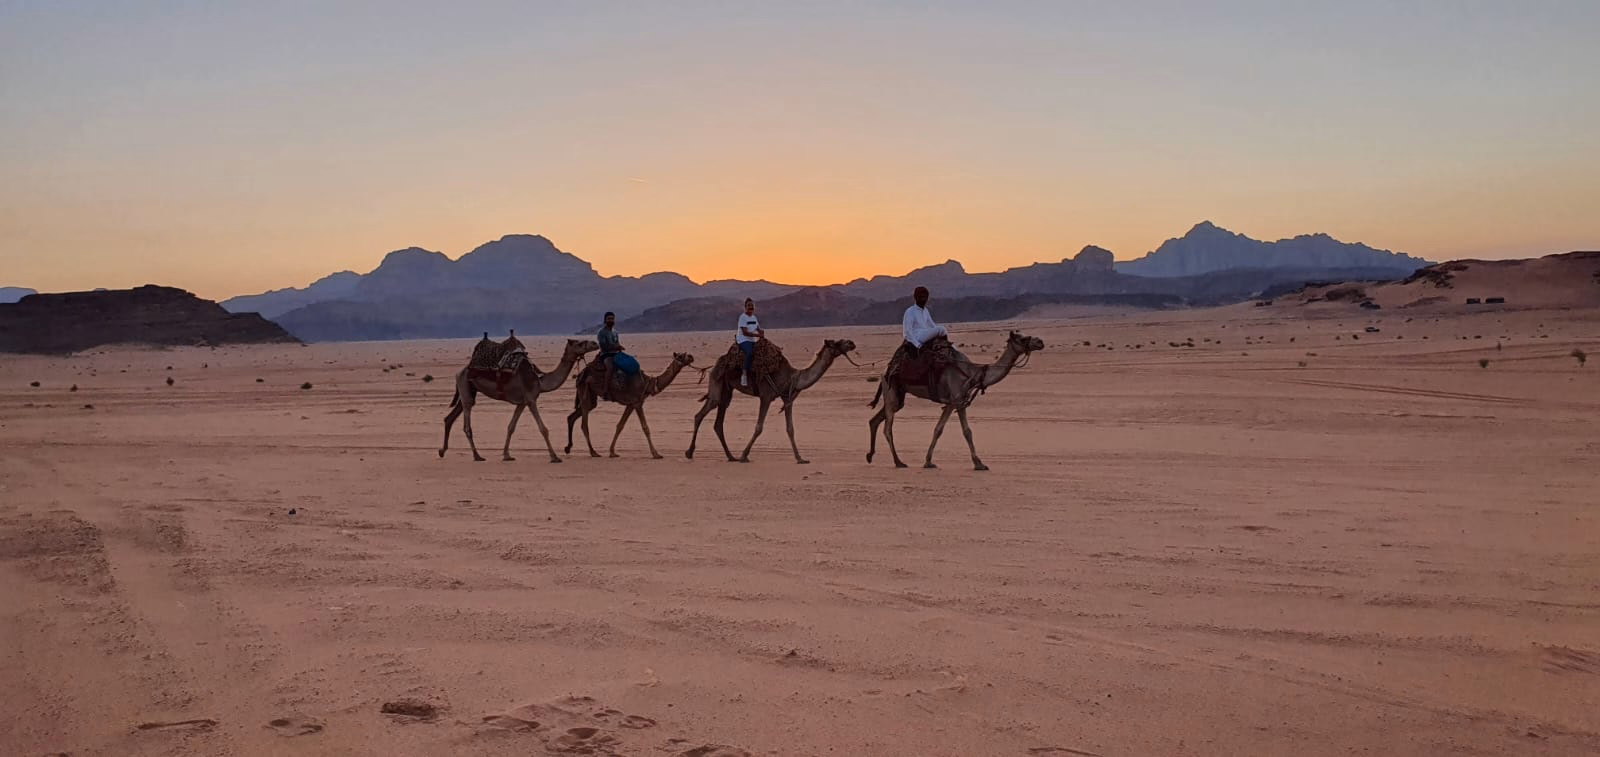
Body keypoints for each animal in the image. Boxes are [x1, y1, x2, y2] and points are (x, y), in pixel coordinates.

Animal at [439, 338, 599, 462]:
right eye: (580, 343)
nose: (595, 343)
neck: (540, 381)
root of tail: (460, 371)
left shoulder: (522, 402)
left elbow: (511, 427)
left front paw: (507, 455)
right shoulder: (531, 399)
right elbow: (543, 429)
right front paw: (554, 457)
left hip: (469, 389)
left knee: (450, 417)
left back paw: (442, 451)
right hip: (465, 386)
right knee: (467, 423)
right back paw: (477, 456)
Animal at [564, 352, 695, 460]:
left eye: (685, 353)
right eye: (680, 356)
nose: (691, 357)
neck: (648, 383)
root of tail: (580, 375)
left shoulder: (631, 404)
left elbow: (620, 426)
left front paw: (612, 452)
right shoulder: (637, 403)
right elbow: (645, 427)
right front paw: (656, 454)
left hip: (591, 396)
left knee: (572, 417)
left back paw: (568, 448)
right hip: (584, 391)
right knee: (584, 424)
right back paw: (593, 452)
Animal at [686, 338, 857, 464]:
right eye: (836, 343)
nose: (851, 343)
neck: (793, 377)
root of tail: (717, 363)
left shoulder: (788, 398)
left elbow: (790, 428)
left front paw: (800, 458)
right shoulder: (766, 396)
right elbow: (759, 427)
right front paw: (744, 455)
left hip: (727, 390)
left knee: (718, 422)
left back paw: (730, 456)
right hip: (716, 381)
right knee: (701, 414)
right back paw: (690, 452)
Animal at [867, 330, 1045, 470]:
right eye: (1022, 338)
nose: (1040, 342)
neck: (972, 373)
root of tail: (886, 370)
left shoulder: (956, 403)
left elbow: (951, 430)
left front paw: (930, 462)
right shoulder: (956, 401)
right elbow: (953, 430)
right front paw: (977, 463)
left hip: (898, 396)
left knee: (874, 420)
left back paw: (870, 455)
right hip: (891, 391)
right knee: (887, 428)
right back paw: (898, 462)